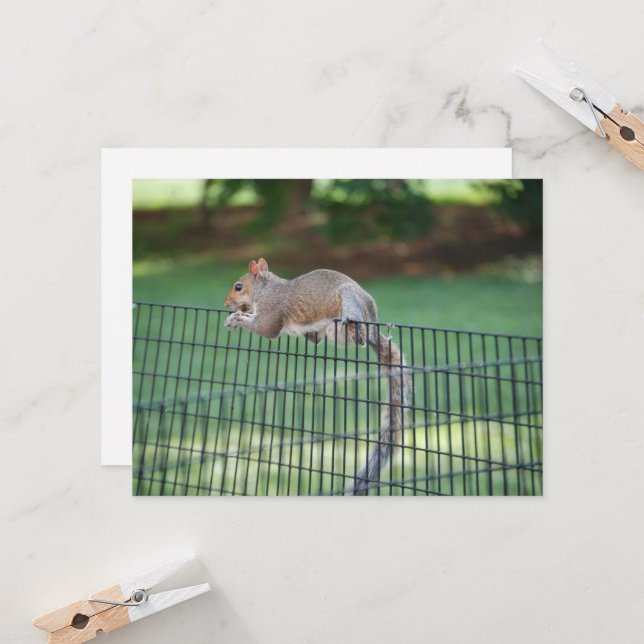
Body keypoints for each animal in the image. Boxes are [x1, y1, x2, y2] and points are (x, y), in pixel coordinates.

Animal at [223, 258, 411, 495]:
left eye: (238, 287)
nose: (225, 304)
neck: (266, 289)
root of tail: (374, 329)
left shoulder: (272, 310)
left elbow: (265, 328)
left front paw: (237, 318)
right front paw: (236, 316)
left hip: (350, 300)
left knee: (359, 336)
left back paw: (354, 327)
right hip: (333, 332)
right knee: (321, 338)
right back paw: (312, 334)